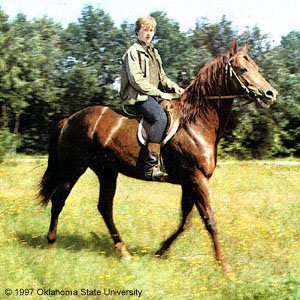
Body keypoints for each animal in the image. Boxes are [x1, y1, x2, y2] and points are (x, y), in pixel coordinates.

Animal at [38, 40, 278, 272]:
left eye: (256, 67)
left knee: (104, 208)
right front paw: (225, 266)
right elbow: (209, 219)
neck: (196, 123)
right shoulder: (197, 179)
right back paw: (51, 245)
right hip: (74, 168)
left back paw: (124, 252)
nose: (270, 94)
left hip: (107, 172)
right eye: (243, 69)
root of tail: (69, 119)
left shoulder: (189, 183)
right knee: (59, 200)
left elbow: (185, 221)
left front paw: (159, 251)